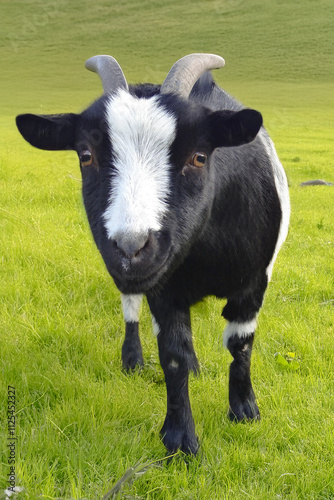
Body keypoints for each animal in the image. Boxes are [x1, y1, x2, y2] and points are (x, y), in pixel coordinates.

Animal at [15, 52, 290, 456]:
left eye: (199, 157)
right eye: (85, 156)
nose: (131, 248)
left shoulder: (255, 280)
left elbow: (240, 345)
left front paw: (244, 410)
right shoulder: (163, 286)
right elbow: (172, 353)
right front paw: (180, 439)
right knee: (131, 306)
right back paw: (132, 358)